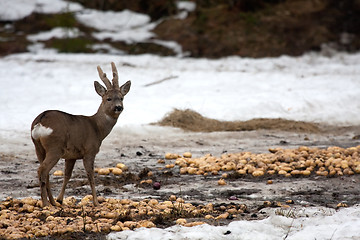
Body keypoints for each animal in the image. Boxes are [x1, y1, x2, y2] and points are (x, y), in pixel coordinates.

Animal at [30, 62, 130, 206]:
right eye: (108, 98)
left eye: (121, 98)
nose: (118, 107)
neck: (97, 128)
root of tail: (40, 120)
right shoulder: (90, 151)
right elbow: (90, 175)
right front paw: (96, 202)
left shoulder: (71, 156)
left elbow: (67, 175)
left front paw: (60, 199)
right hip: (55, 147)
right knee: (42, 170)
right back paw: (45, 203)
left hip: (38, 147)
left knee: (45, 172)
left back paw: (53, 202)